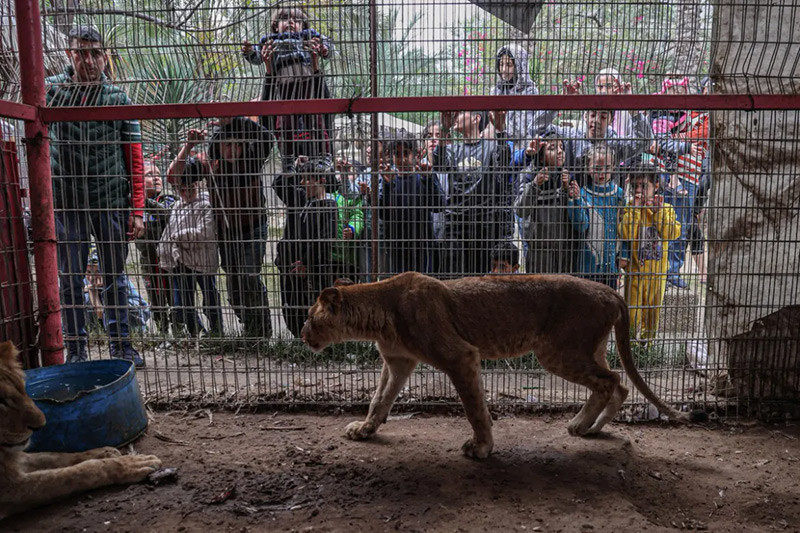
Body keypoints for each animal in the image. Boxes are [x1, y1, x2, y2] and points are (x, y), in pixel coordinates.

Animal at [0, 340, 162, 520]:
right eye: (1, 400)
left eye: (23, 390)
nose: (41, 425)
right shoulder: (12, 489)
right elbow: (77, 472)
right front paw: (130, 464)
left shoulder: (17, 460)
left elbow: (54, 455)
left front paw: (105, 452)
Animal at [300, 272, 688, 456]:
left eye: (309, 315)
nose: (302, 333)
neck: (379, 313)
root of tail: (612, 291)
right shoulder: (399, 362)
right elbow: (379, 400)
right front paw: (364, 430)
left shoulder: (460, 355)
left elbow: (475, 408)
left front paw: (482, 448)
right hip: (585, 350)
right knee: (616, 381)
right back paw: (587, 427)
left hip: (559, 352)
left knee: (612, 382)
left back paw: (584, 426)